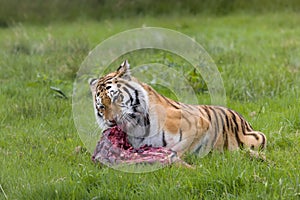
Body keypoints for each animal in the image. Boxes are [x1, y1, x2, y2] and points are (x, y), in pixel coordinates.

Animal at [89, 60, 268, 159]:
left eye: (116, 98)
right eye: (102, 106)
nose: (111, 121)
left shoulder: (199, 124)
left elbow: (181, 147)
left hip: (257, 139)